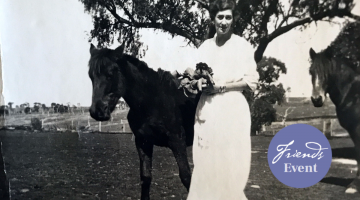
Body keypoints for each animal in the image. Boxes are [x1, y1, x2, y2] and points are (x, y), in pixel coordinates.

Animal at [88, 43, 198, 198]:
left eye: (110, 74)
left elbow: (186, 177)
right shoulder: (143, 142)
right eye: (91, 76)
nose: (97, 111)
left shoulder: (177, 141)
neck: (153, 101)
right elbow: (145, 178)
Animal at [308, 22, 360, 194]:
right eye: (310, 71)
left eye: (328, 71)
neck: (353, 93)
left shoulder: (357, 130)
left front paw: (354, 186)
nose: (317, 99)